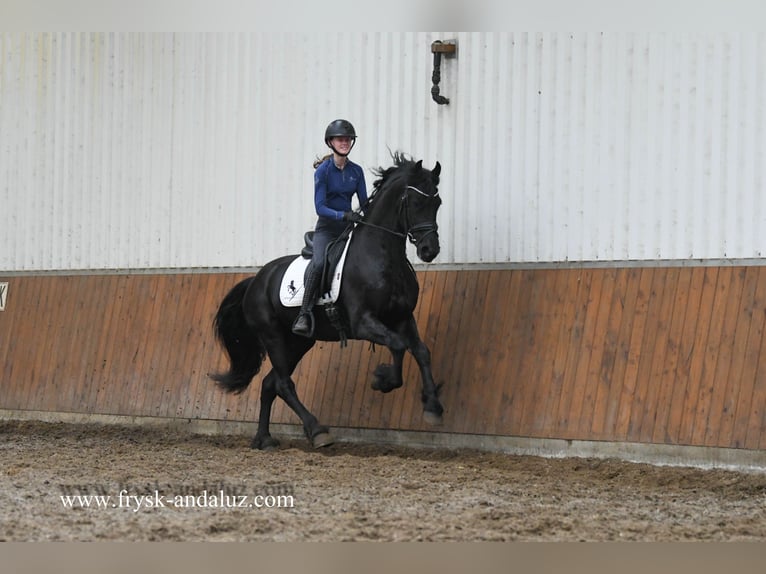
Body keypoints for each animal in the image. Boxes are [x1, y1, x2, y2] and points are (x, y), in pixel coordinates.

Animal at [213, 153, 448, 450]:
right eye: (416, 202)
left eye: (437, 203)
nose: (430, 250)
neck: (383, 256)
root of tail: (256, 279)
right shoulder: (363, 322)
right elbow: (398, 345)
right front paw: (382, 379)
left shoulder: (403, 317)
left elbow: (421, 351)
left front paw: (433, 407)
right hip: (272, 336)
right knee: (283, 384)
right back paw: (317, 431)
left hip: (298, 342)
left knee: (270, 383)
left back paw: (264, 439)